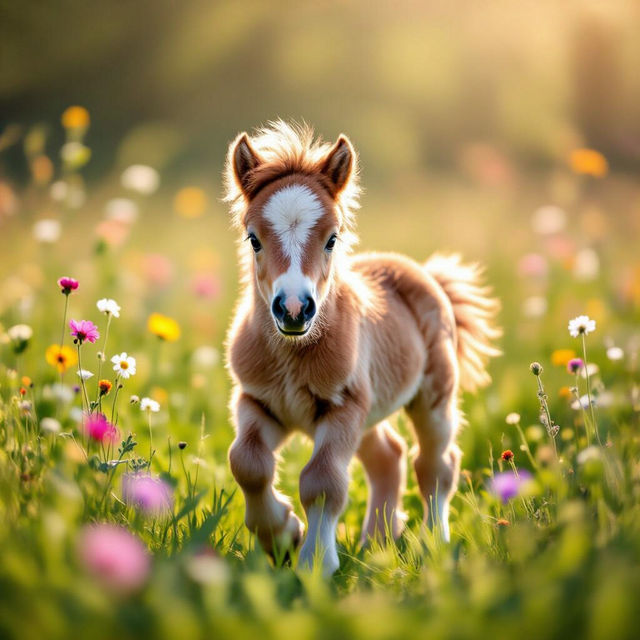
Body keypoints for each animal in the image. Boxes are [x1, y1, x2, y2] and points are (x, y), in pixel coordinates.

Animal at [224, 121, 501, 576]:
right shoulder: (258, 401)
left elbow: (322, 481)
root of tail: (426, 275)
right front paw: (283, 537)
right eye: (254, 240)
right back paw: (379, 542)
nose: (294, 308)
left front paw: (315, 563)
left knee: (436, 463)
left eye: (332, 239)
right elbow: (247, 462)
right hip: (371, 411)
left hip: (432, 396)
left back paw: (433, 544)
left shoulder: (343, 407)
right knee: (389, 455)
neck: (293, 353)